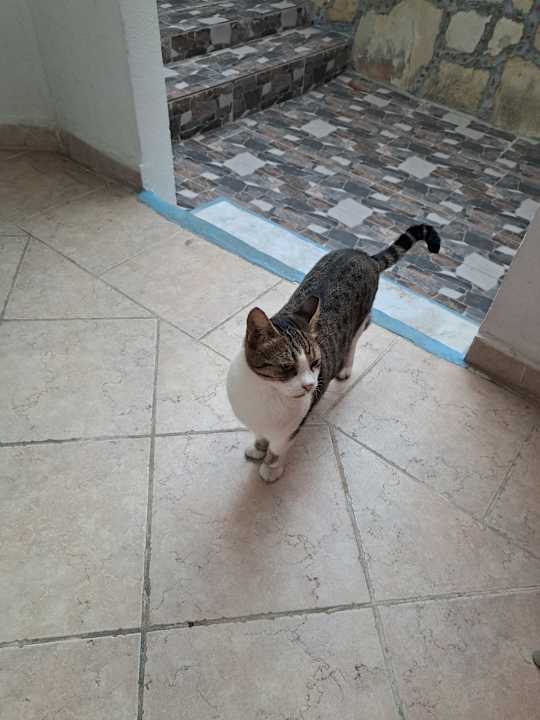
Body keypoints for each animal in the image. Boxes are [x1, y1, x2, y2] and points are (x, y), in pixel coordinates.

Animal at [227, 224, 441, 482]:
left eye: (315, 363)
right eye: (287, 367)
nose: (310, 386)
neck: (266, 393)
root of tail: (362, 255)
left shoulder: (290, 429)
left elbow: (277, 449)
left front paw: (270, 467)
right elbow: (260, 435)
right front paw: (258, 448)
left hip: (361, 321)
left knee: (354, 340)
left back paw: (345, 367)